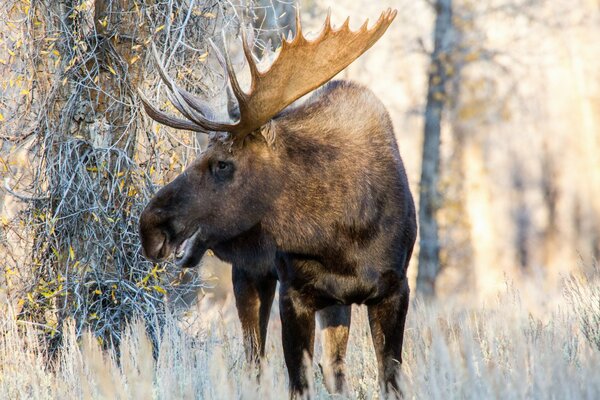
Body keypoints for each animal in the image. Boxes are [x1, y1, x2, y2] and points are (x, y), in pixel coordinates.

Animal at [138, 8, 414, 396]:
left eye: (222, 163)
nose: (150, 226)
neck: (340, 238)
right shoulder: (294, 291)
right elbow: (298, 381)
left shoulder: (395, 288)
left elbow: (387, 378)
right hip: (251, 275)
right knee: (254, 362)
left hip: (334, 303)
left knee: (334, 369)